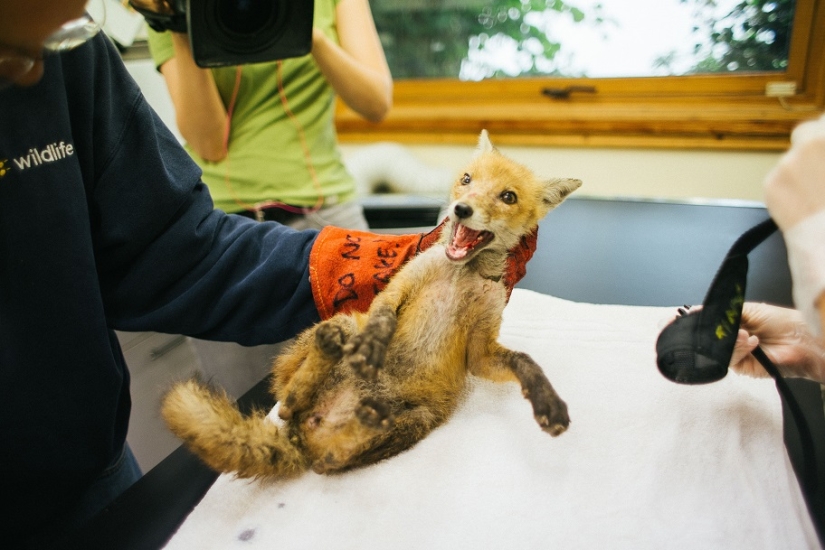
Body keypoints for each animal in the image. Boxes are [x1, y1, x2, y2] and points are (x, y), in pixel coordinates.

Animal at [162, 130, 582, 479]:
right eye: (467, 180)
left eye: (508, 196)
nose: (461, 209)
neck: (460, 274)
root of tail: (304, 435)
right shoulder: (399, 286)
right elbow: (381, 318)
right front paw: (372, 348)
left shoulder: (479, 351)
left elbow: (524, 361)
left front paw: (546, 400)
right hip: (345, 324)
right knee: (287, 400)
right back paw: (324, 358)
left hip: (418, 419)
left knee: (327, 459)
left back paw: (358, 419)